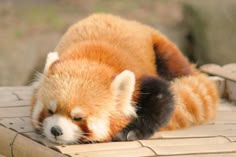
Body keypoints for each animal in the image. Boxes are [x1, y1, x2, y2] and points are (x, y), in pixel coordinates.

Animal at [30, 13, 218, 144]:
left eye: (78, 118)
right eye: (50, 111)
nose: (56, 130)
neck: (90, 57)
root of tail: (132, 22)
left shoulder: (140, 79)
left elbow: (163, 98)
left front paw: (131, 131)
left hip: (162, 49)